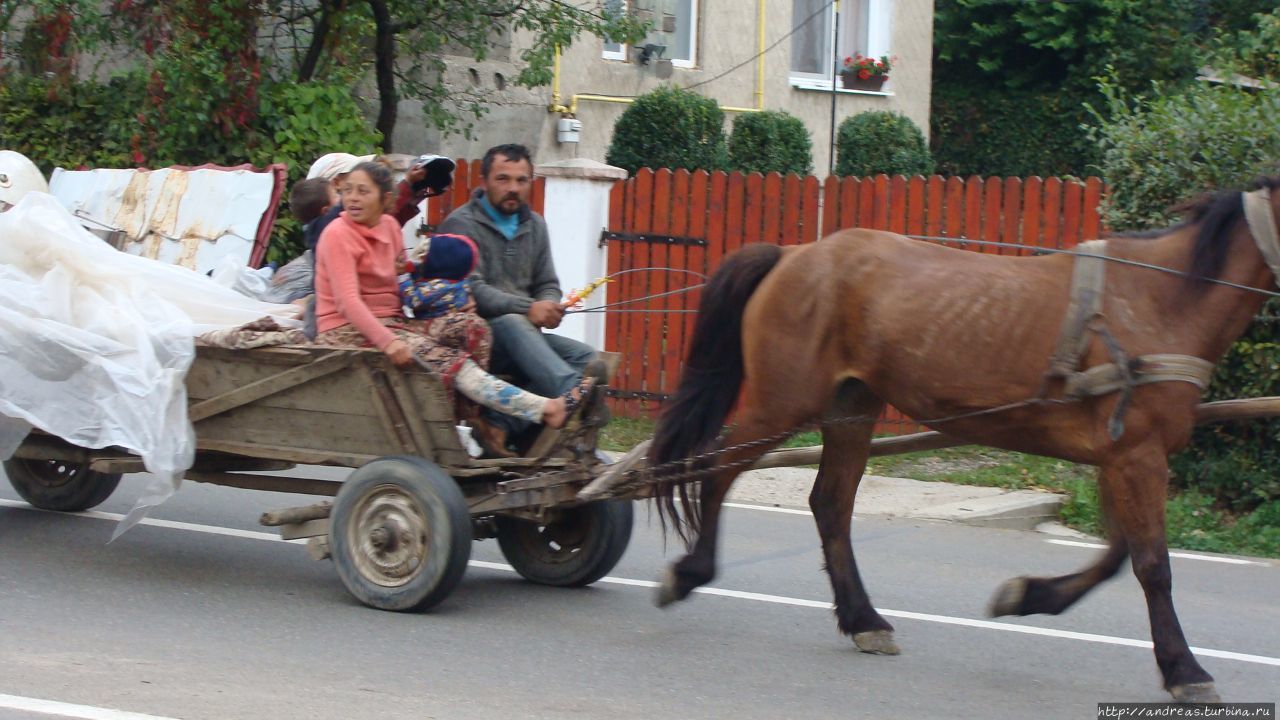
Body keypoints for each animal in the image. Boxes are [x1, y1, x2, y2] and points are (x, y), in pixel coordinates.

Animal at [650, 176, 1280, 696]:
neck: (1160, 300)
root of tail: (794, 254)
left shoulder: (1120, 456)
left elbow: (1117, 555)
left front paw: (1028, 595)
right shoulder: (1137, 456)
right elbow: (1152, 565)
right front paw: (1184, 669)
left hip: (851, 410)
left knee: (829, 503)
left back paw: (863, 619)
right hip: (782, 404)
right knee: (717, 467)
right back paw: (690, 573)